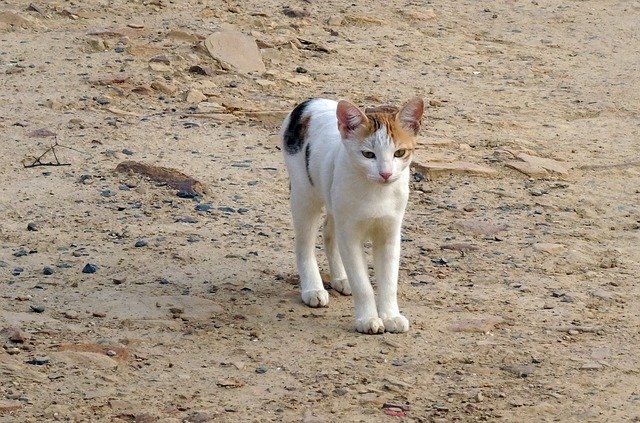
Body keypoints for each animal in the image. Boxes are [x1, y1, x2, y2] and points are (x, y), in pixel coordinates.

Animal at [282, 96, 424, 334]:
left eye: (399, 153)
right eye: (368, 154)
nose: (386, 173)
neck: (376, 193)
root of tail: (309, 102)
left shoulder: (389, 235)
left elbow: (389, 282)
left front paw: (391, 316)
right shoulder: (350, 235)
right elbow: (362, 284)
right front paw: (368, 319)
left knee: (328, 234)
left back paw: (341, 278)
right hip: (304, 197)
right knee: (304, 245)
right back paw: (313, 289)